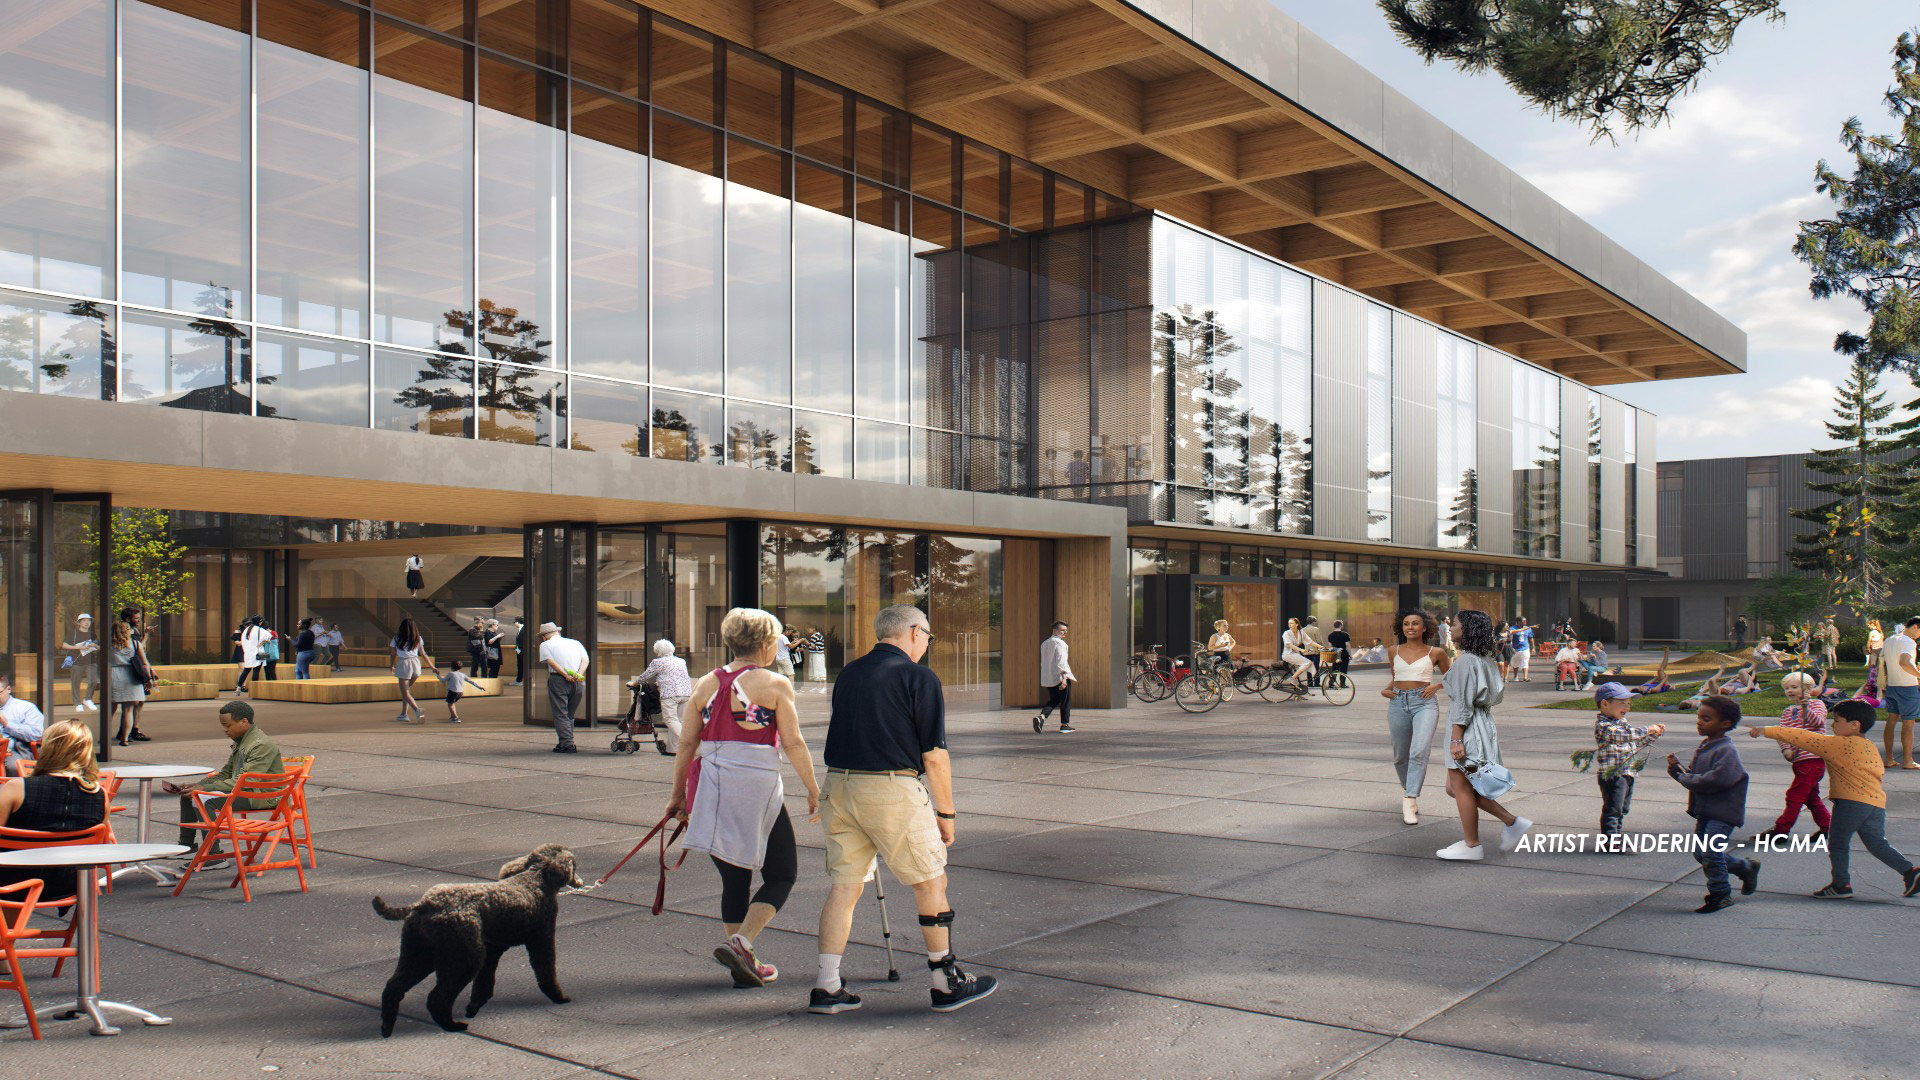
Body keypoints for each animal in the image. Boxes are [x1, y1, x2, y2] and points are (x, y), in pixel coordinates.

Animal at [374, 837, 579, 1030]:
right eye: (574, 865)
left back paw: (387, 1027)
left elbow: (484, 983)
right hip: (463, 957)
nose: (579, 881)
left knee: (394, 987)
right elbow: (546, 971)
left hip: (419, 954)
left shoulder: (493, 949)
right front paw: (559, 997)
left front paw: (474, 1006)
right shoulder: (542, 939)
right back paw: (452, 1026)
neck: (535, 877)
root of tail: (425, 904)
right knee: (437, 998)